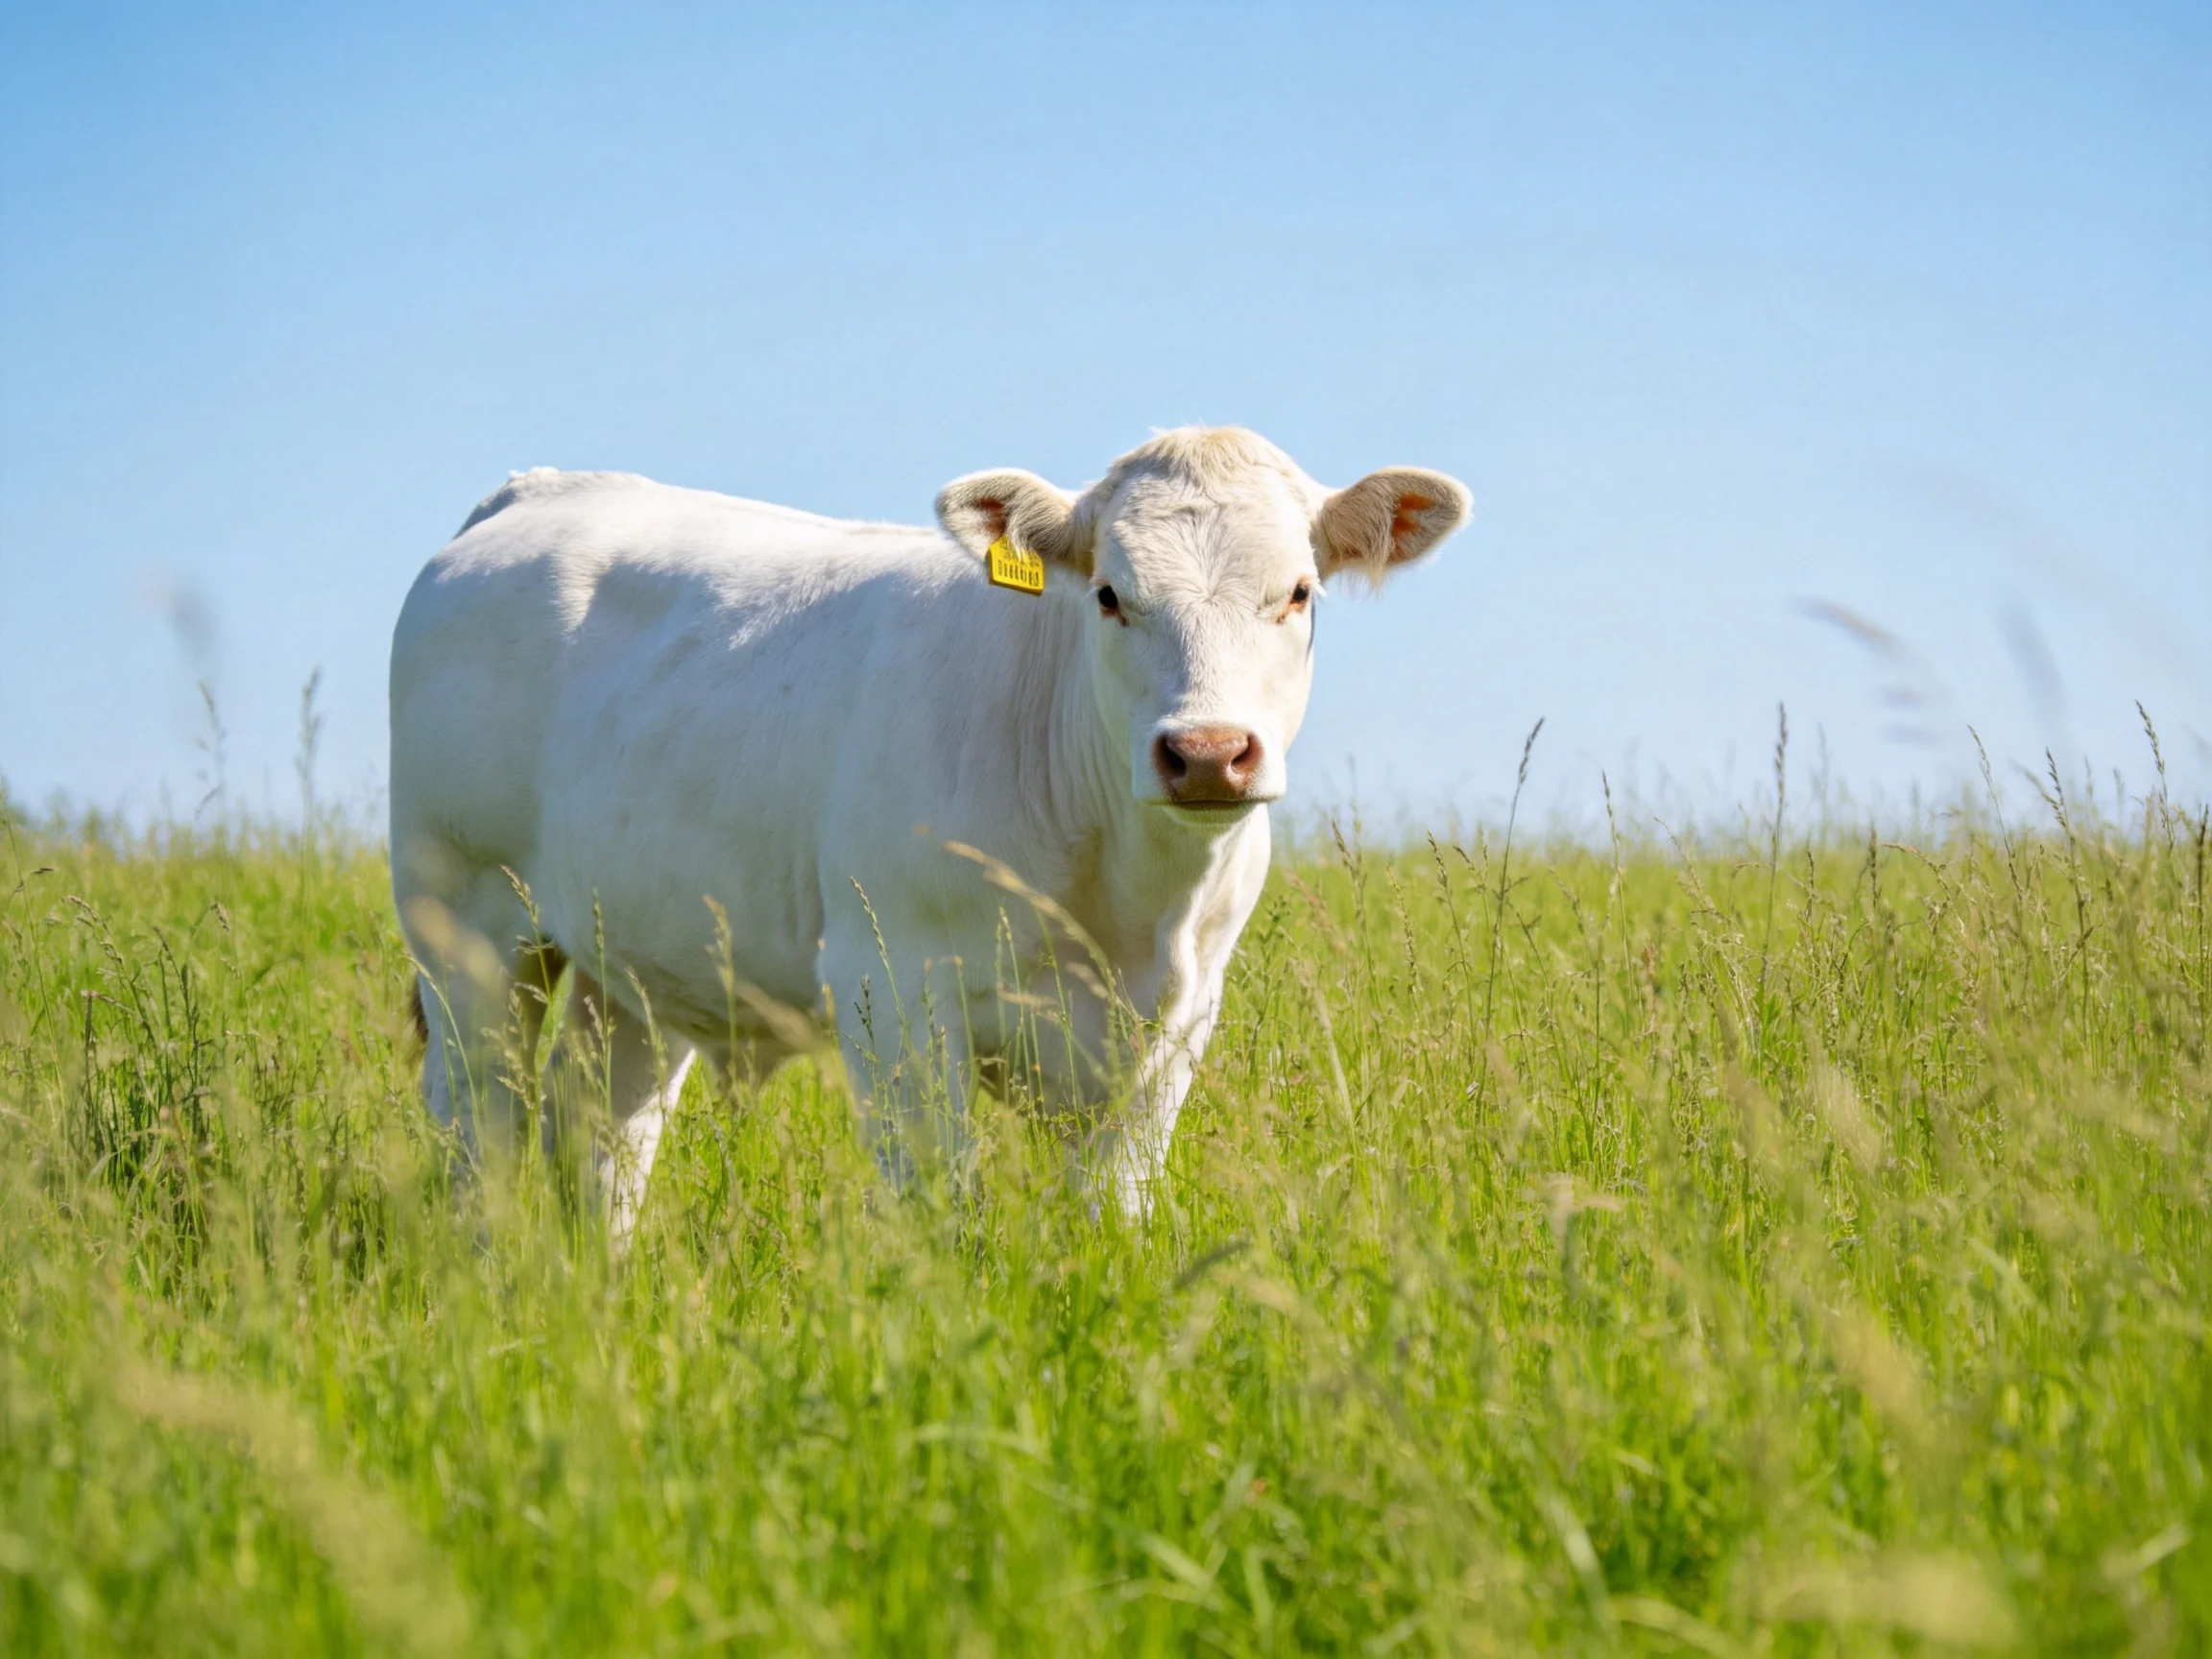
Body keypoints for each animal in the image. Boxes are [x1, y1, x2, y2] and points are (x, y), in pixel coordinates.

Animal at [390, 427, 1469, 1233]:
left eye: (1298, 592)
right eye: (1110, 595)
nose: (1206, 752)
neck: (1124, 902)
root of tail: (537, 491)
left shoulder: (1177, 1023)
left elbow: (1115, 1208)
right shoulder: (890, 989)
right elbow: (939, 1207)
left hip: (637, 963)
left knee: (600, 1133)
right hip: (467, 922)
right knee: (479, 1126)